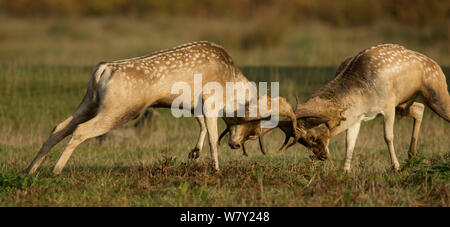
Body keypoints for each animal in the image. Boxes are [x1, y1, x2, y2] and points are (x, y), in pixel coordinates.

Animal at [26, 40, 298, 174]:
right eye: (252, 129)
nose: (236, 144)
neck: (231, 81)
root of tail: (103, 68)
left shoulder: (192, 105)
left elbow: (200, 126)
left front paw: (194, 153)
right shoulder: (210, 101)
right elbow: (212, 136)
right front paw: (216, 169)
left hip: (89, 102)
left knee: (59, 127)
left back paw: (30, 169)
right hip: (118, 109)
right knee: (81, 130)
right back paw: (56, 170)